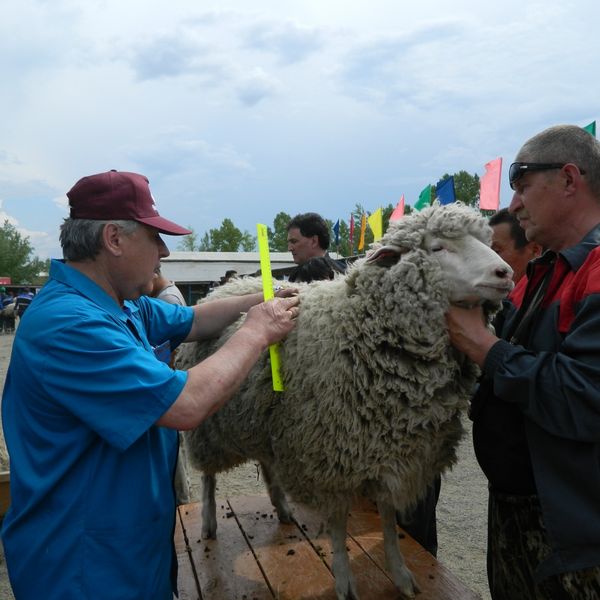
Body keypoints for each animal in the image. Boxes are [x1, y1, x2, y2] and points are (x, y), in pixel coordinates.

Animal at [176, 203, 512, 600]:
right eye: (438, 248)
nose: (505, 273)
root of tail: (223, 289)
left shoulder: (391, 452)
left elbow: (388, 519)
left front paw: (400, 573)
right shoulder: (329, 454)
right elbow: (337, 525)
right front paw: (343, 580)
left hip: (263, 420)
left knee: (268, 464)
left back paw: (283, 507)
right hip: (209, 427)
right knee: (209, 477)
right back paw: (209, 522)